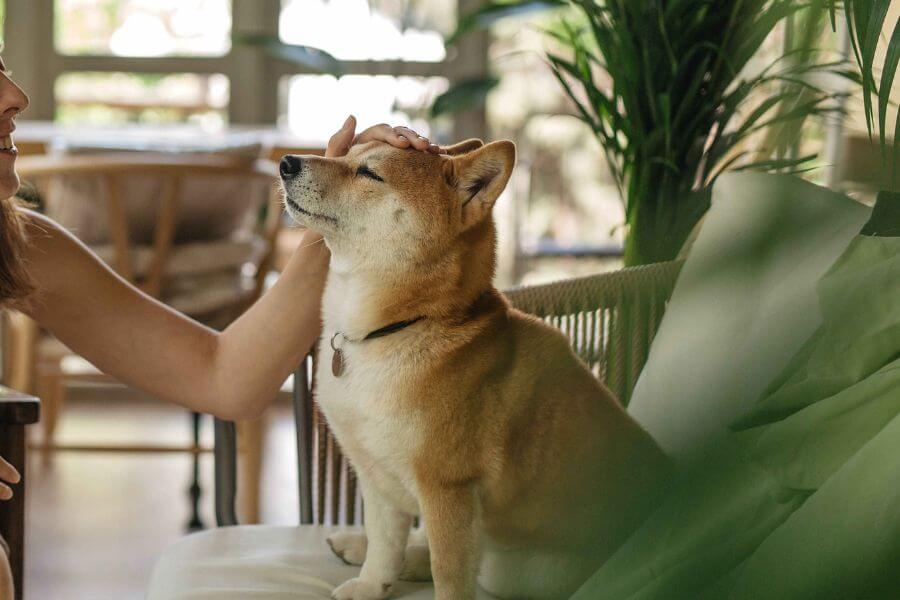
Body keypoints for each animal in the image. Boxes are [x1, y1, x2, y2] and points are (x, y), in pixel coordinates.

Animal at [280, 138, 668, 596]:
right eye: (344, 154)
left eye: (369, 173)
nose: (286, 162)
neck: (397, 328)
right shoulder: (375, 472)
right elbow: (385, 544)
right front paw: (370, 585)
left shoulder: (448, 488)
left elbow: (447, 574)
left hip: (534, 571)